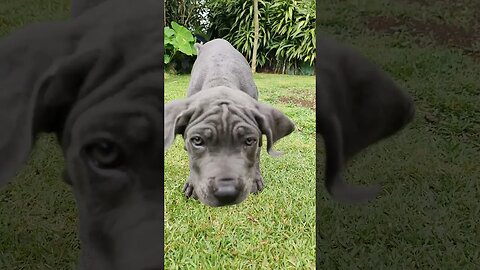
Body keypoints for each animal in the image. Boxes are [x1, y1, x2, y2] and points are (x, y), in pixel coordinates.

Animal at [164, 38, 292, 207]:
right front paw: (192, 183)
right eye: (197, 140)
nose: (226, 192)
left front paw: (255, 179)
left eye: (249, 140)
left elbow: (256, 154)